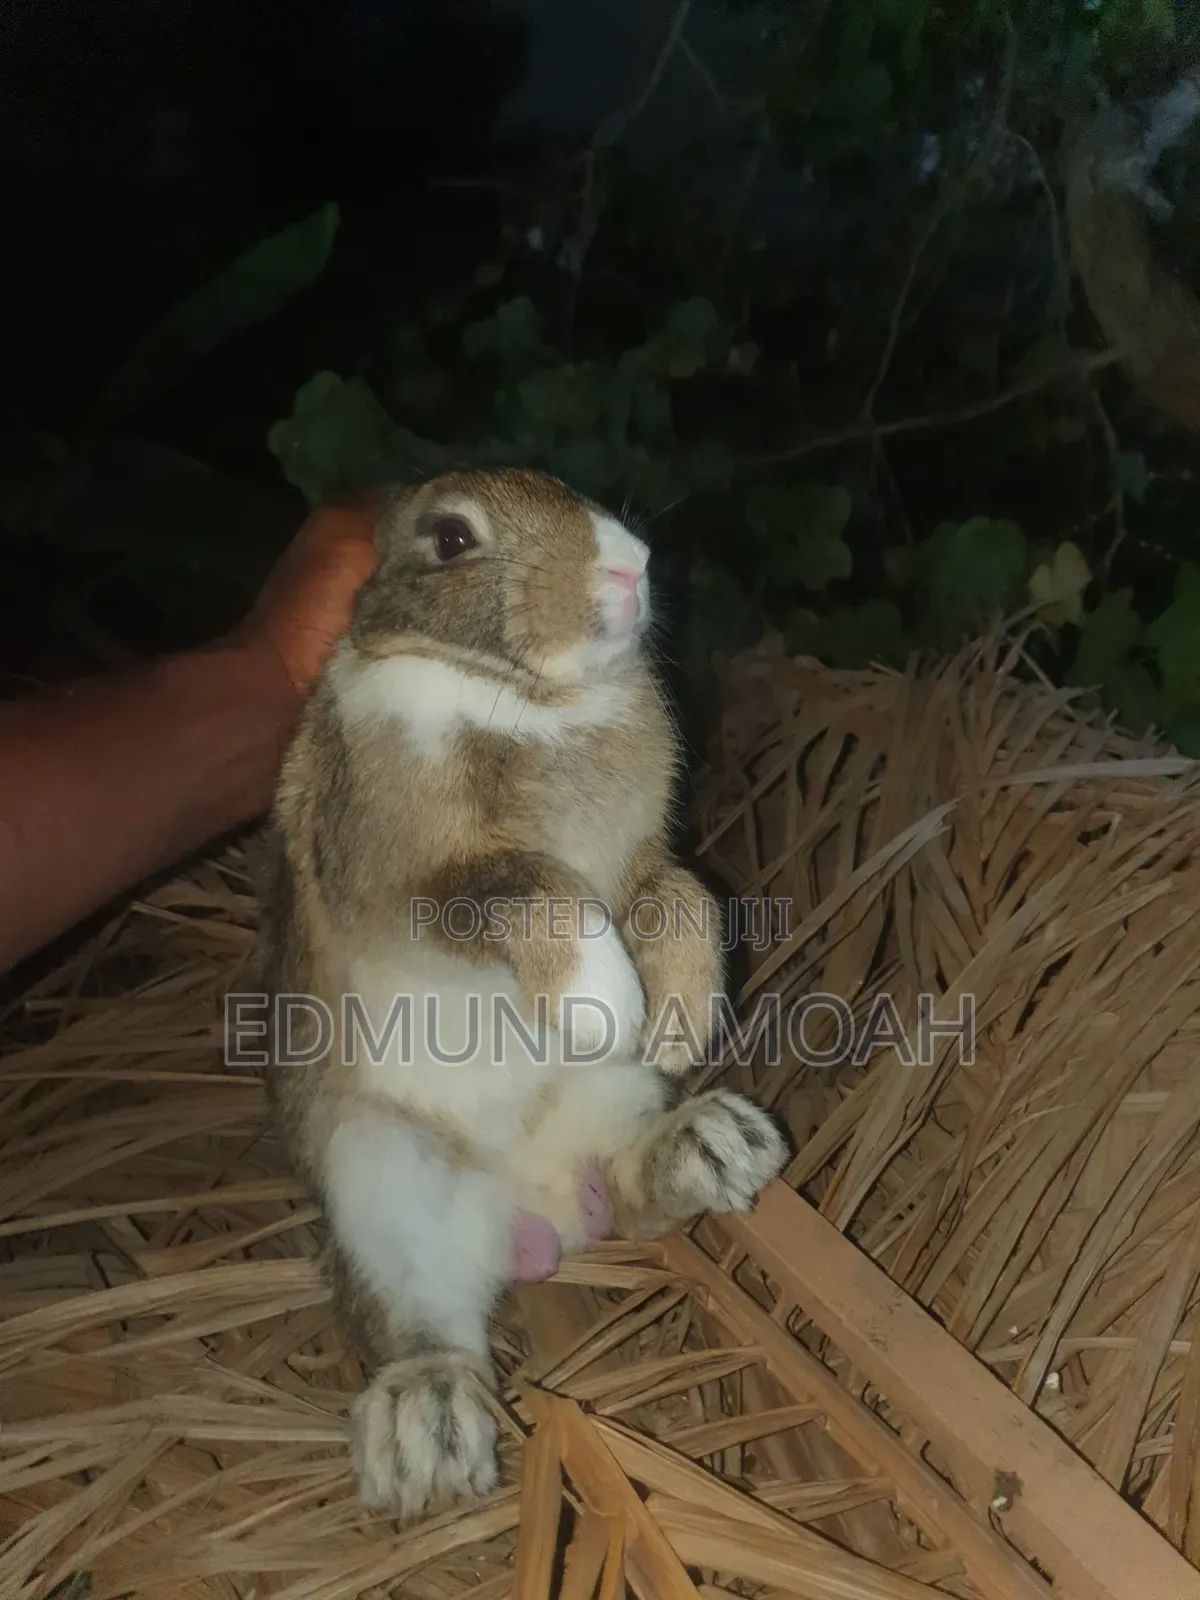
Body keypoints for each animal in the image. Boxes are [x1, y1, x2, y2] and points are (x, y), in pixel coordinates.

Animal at [257, 466, 787, 1522]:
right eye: (452, 537)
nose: (630, 565)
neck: (534, 695)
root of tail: (534, 1205)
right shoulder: (422, 884)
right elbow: (525, 893)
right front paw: (603, 1004)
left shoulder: (642, 868)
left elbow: (684, 901)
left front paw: (677, 1023)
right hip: (380, 1177)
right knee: (424, 1320)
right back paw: (424, 1432)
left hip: (605, 1105)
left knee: (628, 1182)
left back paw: (716, 1145)